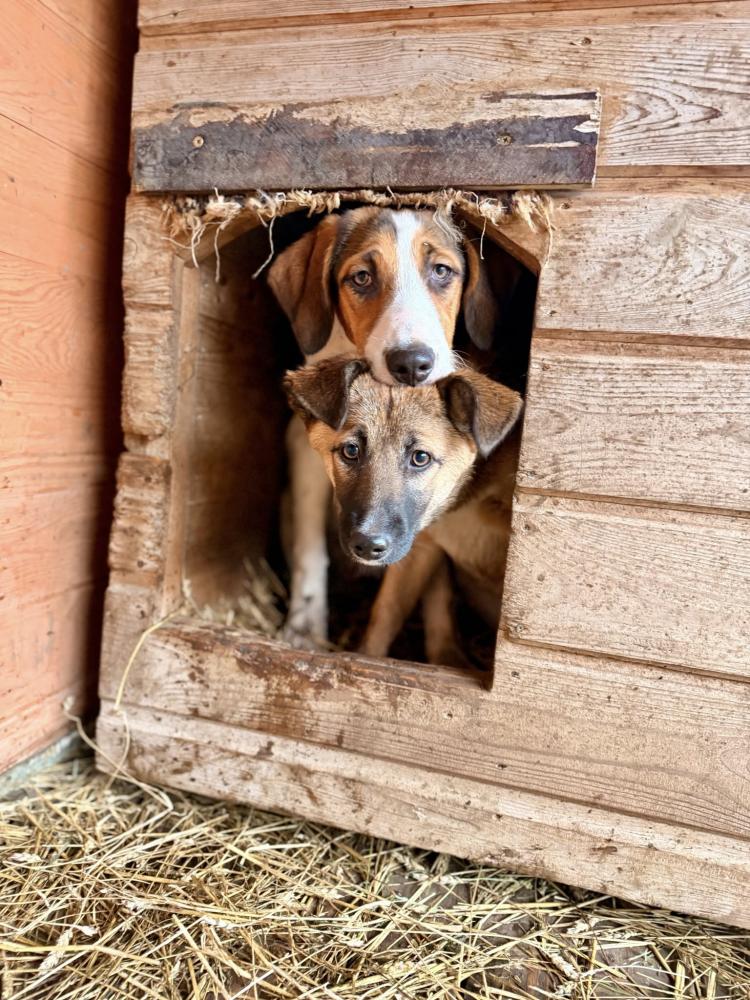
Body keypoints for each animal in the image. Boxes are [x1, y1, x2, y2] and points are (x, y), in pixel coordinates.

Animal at [267, 206, 498, 646]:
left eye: (441, 271)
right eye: (362, 277)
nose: (412, 363)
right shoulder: (306, 453)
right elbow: (309, 547)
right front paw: (304, 626)